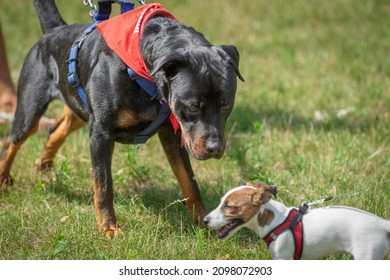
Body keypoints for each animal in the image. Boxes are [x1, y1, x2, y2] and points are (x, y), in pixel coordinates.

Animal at [204, 183, 390, 260]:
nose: (205, 220)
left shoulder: (283, 259)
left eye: (229, 206)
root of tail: (382, 223)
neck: (276, 222)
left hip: (367, 256)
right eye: (221, 202)